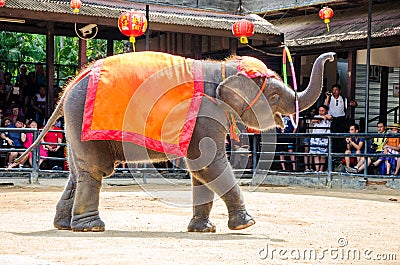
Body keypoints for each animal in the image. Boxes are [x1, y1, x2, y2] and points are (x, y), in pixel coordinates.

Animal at [16, 51, 334, 231]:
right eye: (274, 95)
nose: (331, 56)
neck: (222, 68)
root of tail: (71, 82)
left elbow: (201, 170)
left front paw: (203, 229)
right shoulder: (205, 113)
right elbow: (210, 165)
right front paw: (246, 225)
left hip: (75, 124)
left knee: (78, 171)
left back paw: (64, 225)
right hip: (82, 116)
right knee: (95, 170)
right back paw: (91, 228)